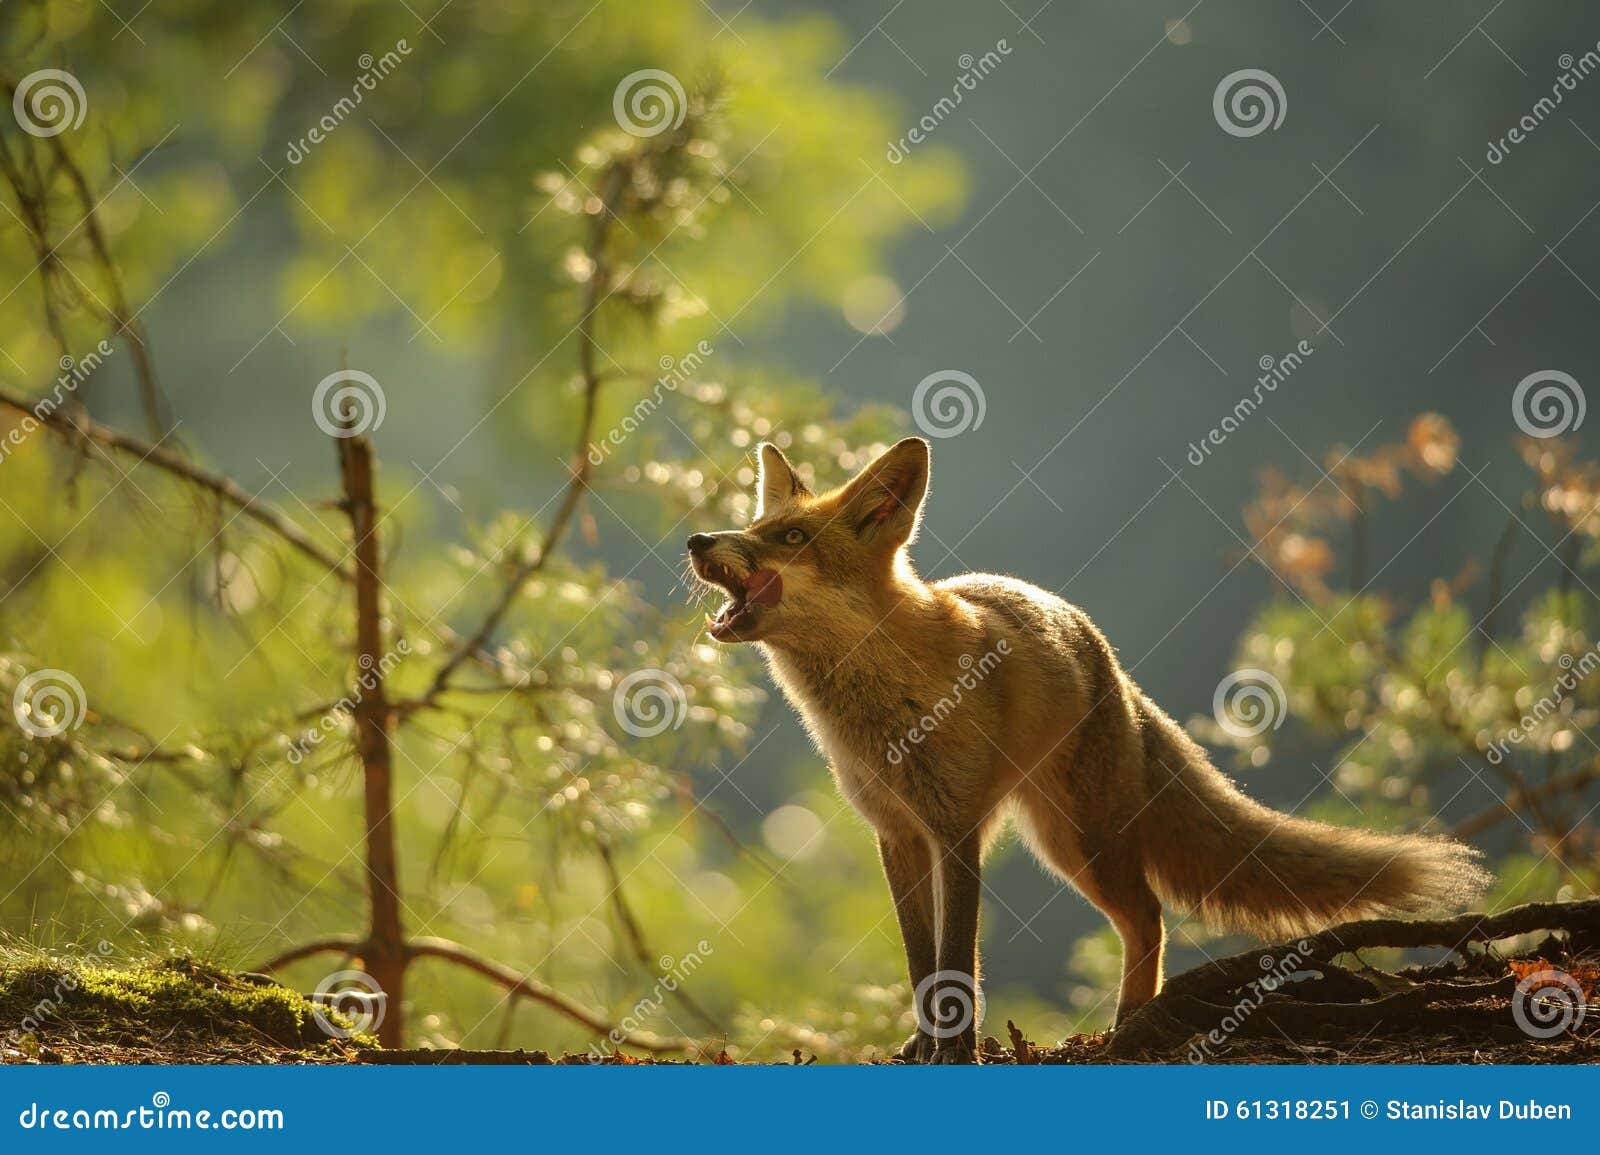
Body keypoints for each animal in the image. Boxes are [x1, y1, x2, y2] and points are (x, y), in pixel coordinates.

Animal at [684, 435, 1484, 1062]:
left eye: (791, 539)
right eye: (755, 524)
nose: (695, 542)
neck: (883, 710)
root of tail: (1114, 666)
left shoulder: (956, 828)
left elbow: (957, 958)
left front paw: (957, 1051)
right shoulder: (897, 833)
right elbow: (920, 963)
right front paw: (921, 1045)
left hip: (1081, 841)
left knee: (1149, 915)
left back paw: (1134, 1024)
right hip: (1065, 842)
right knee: (1144, 914)